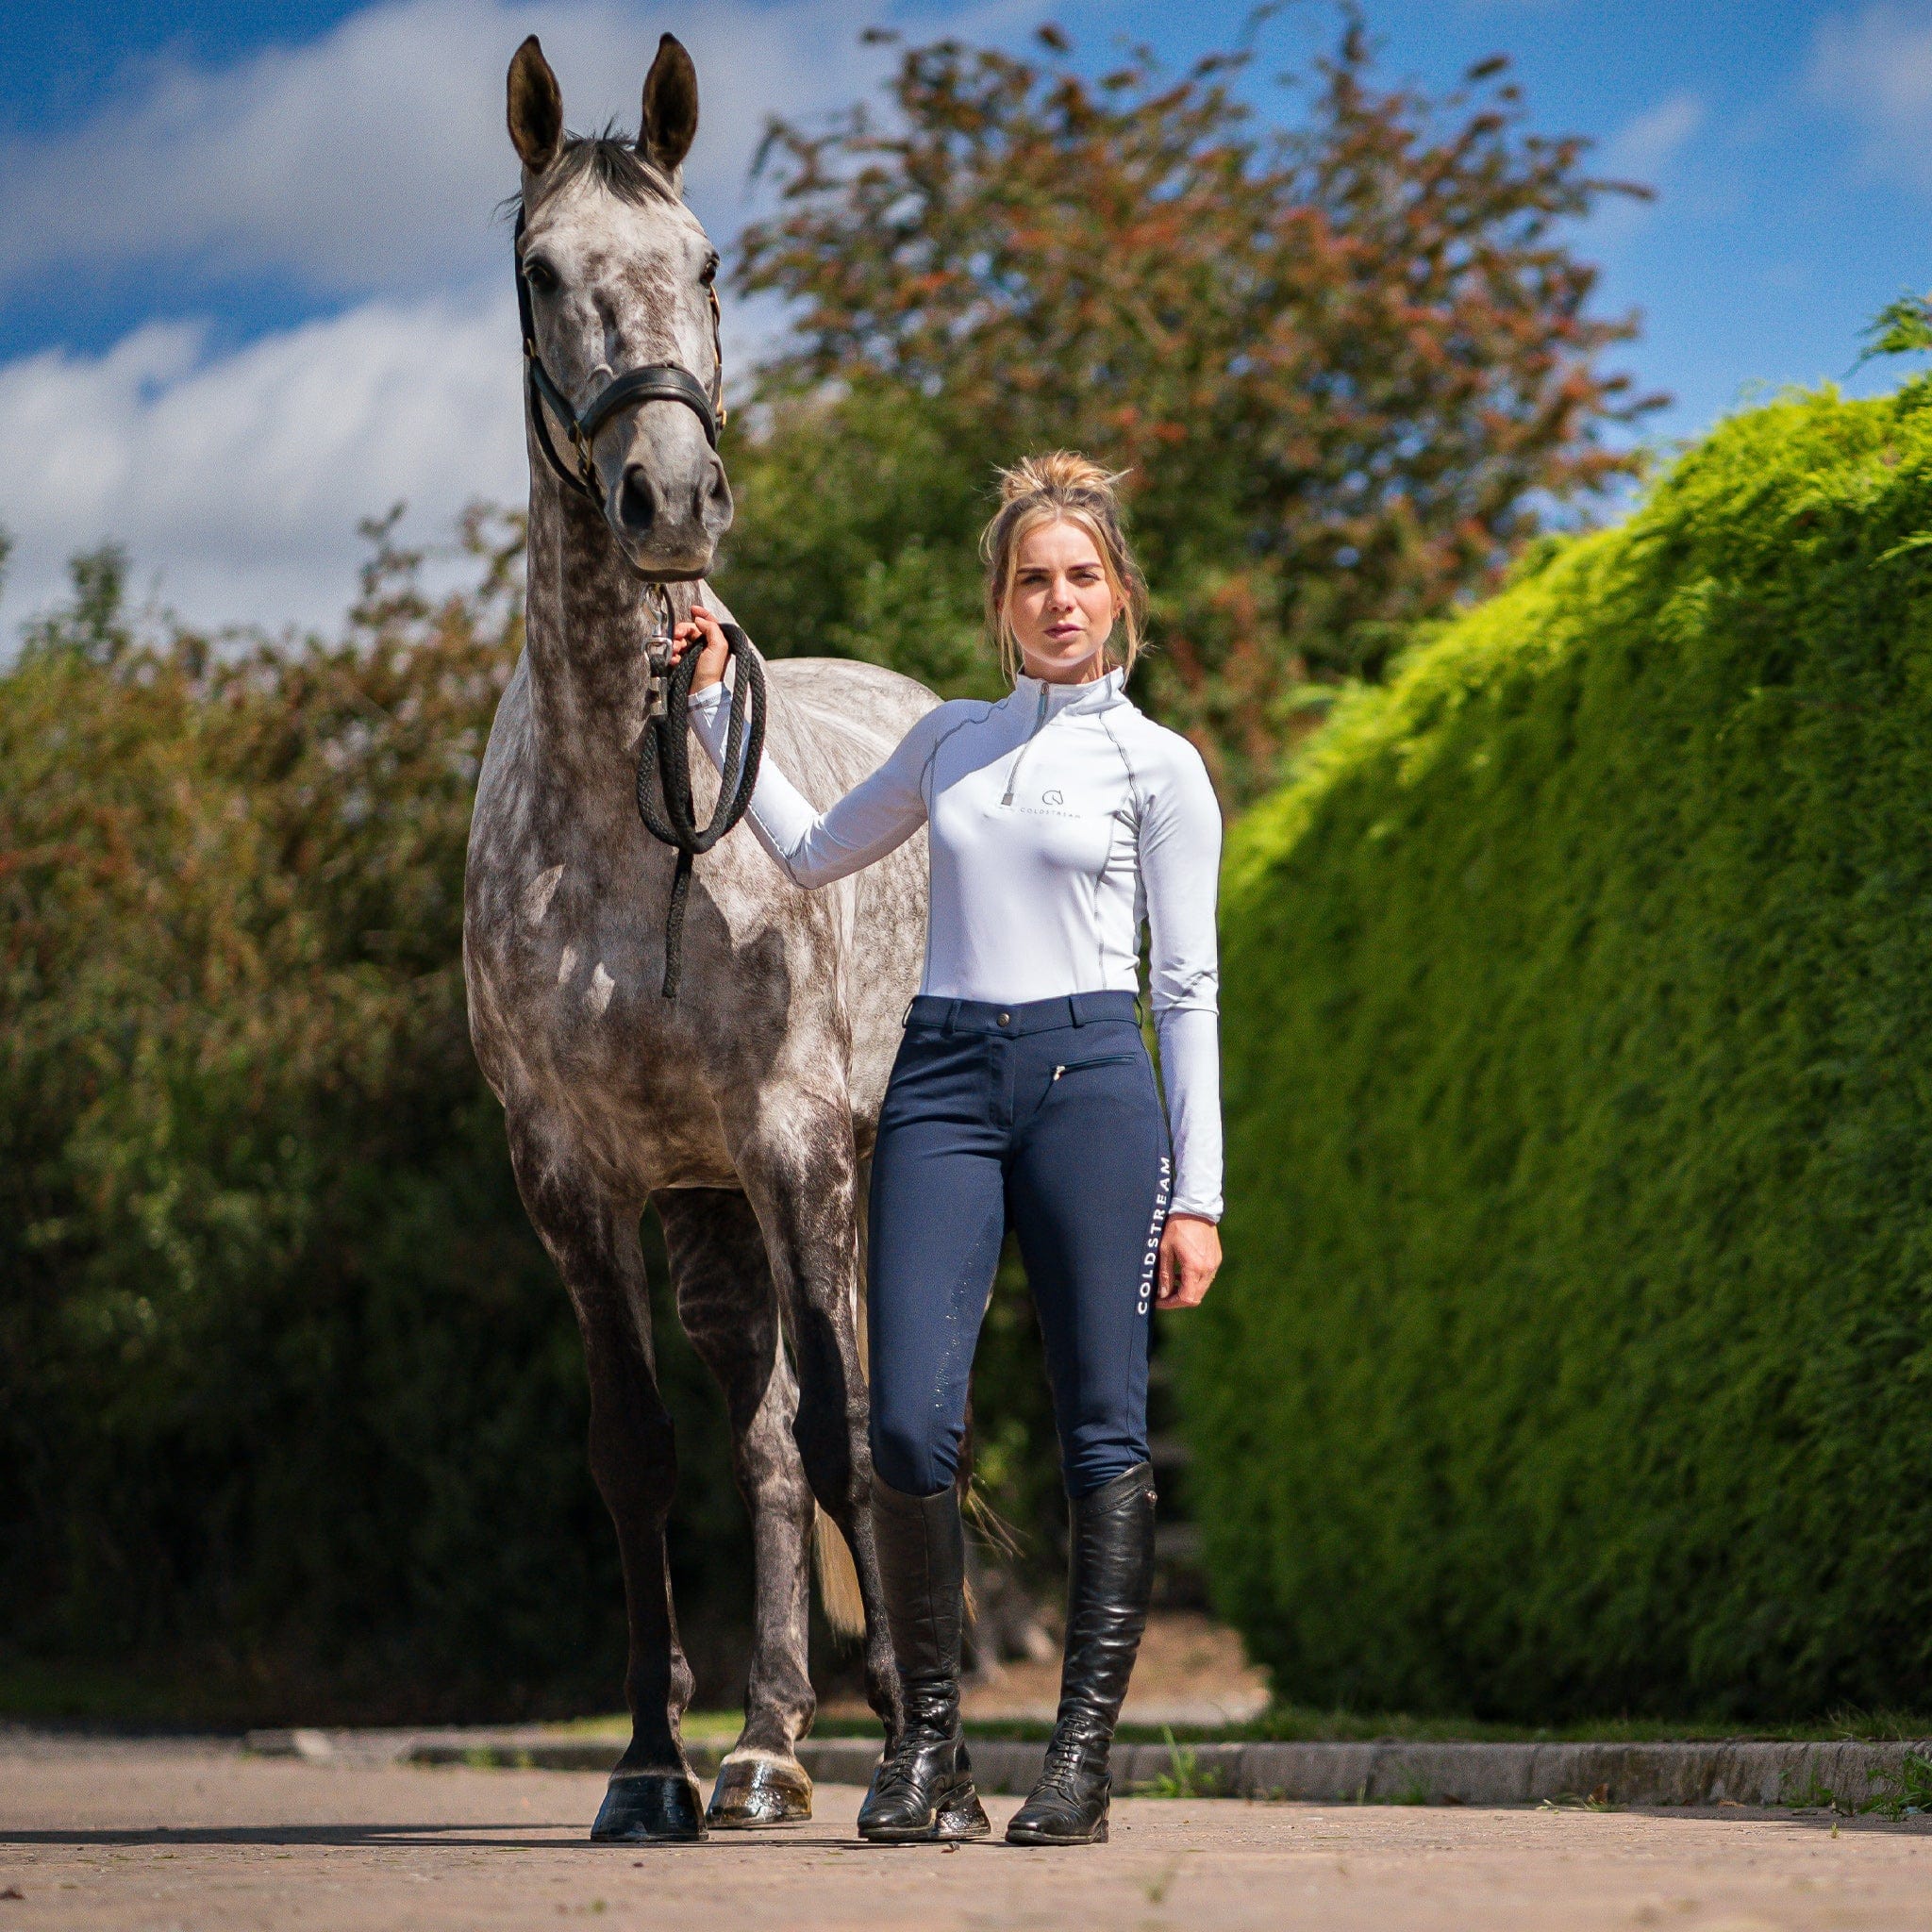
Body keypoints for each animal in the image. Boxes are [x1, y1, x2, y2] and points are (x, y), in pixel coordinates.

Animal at [462, 32, 935, 1841]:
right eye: (541, 270)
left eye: (709, 261)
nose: (669, 495)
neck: (624, 792)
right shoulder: (576, 1180)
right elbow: (642, 1454)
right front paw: (652, 1762)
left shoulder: (796, 1138)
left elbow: (854, 1435)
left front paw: (922, 1758)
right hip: (713, 1213)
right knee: (762, 1428)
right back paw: (765, 1740)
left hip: (854, 1170)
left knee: (863, 1412)